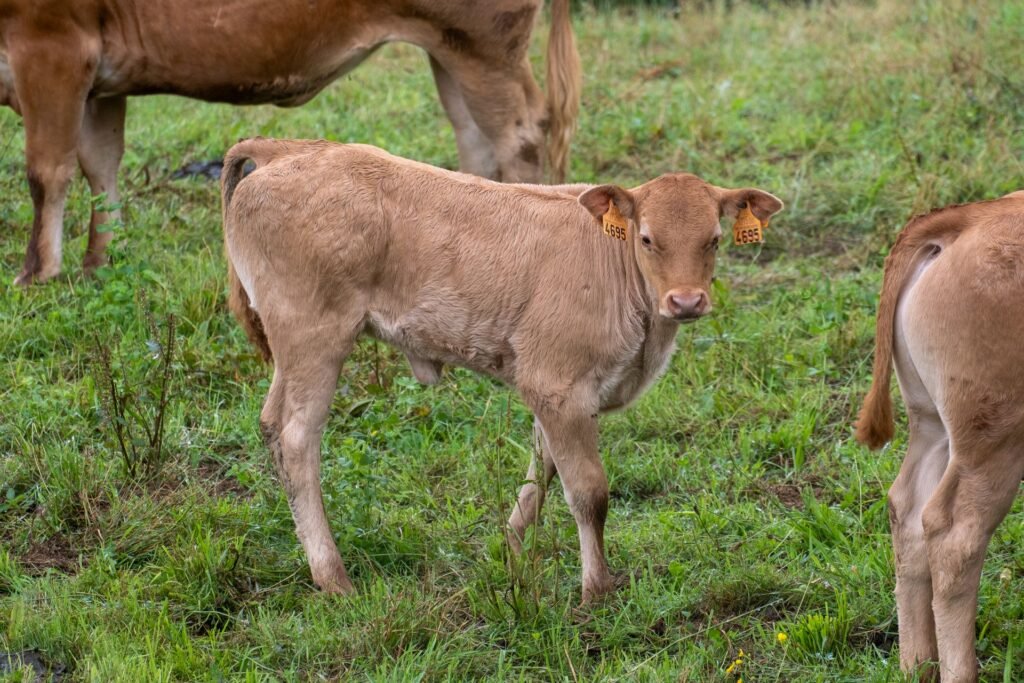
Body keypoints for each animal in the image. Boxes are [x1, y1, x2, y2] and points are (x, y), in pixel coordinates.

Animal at [0, 0, 581, 285]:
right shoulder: (102, 76)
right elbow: (100, 166)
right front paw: (98, 262)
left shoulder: (51, 45)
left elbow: (47, 170)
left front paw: (35, 274)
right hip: (451, 48)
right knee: (475, 143)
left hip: (484, 43)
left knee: (520, 135)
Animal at [221, 137, 784, 601]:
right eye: (646, 239)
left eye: (714, 239)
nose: (686, 301)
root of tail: (287, 149)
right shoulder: (558, 384)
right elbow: (589, 491)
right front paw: (596, 590)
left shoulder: (558, 391)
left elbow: (543, 469)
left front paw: (509, 547)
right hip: (314, 337)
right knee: (298, 438)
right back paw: (334, 578)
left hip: (293, 350)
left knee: (271, 425)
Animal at [856, 192, 1024, 682]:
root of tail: (974, 215)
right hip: (995, 443)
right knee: (955, 537)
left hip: (933, 424)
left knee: (907, 508)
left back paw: (918, 664)